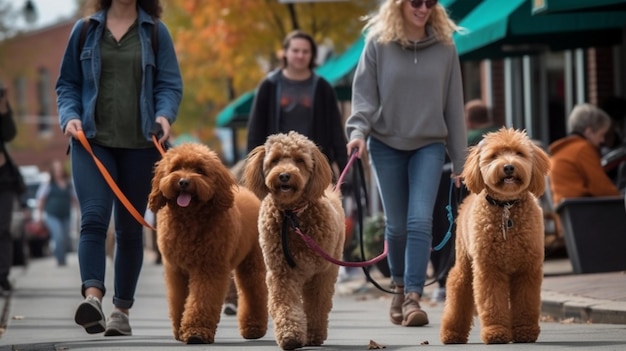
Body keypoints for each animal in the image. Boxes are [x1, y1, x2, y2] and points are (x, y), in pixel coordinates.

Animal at [147, 144, 266, 346]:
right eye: (176, 168)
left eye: (199, 170)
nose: (183, 182)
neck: (189, 219)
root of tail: (250, 194)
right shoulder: (176, 270)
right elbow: (179, 300)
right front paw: (180, 330)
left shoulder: (209, 268)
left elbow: (201, 299)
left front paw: (196, 332)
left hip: (252, 262)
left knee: (254, 291)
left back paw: (254, 328)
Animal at [241, 132, 344, 351]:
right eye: (275, 160)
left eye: (299, 160)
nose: (284, 175)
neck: (291, 216)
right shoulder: (282, 273)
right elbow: (285, 304)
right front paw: (290, 336)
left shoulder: (319, 274)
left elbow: (316, 305)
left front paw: (313, 334)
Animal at [438, 128, 544, 346]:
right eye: (494, 156)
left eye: (519, 153)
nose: (509, 166)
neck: (506, 208)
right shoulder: (489, 269)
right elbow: (492, 303)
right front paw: (496, 332)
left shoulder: (527, 269)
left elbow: (526, 303)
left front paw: (525, 331)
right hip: (465, 263)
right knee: (457, 288)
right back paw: (452, 333)